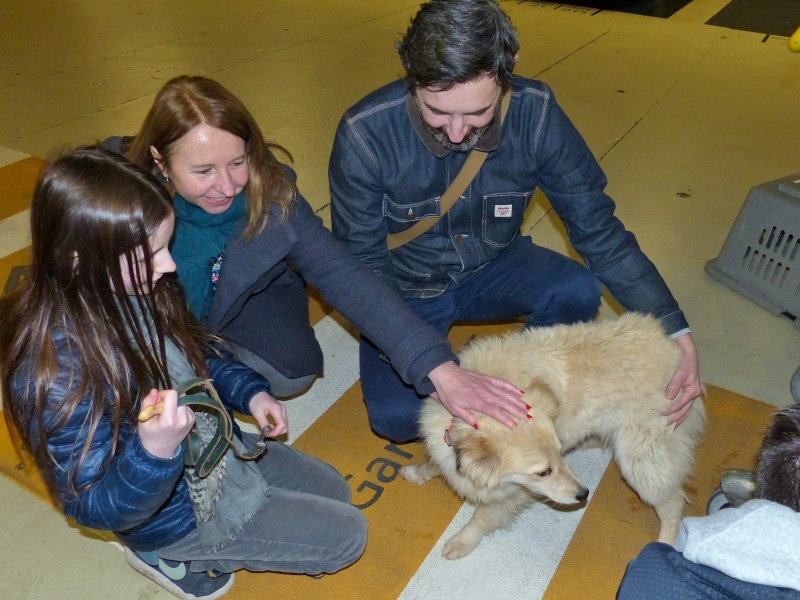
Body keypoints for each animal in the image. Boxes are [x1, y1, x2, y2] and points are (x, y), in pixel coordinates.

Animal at [404, 312, 704, 560]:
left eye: (559, 457)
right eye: (544, 471)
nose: (584, 494)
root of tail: (675, 351)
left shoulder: (513, 493)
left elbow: (482, 517)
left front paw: (462, 541)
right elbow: (434, 465)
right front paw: (416, 473)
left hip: (642, 463)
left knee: (673, 503)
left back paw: (663, 543)